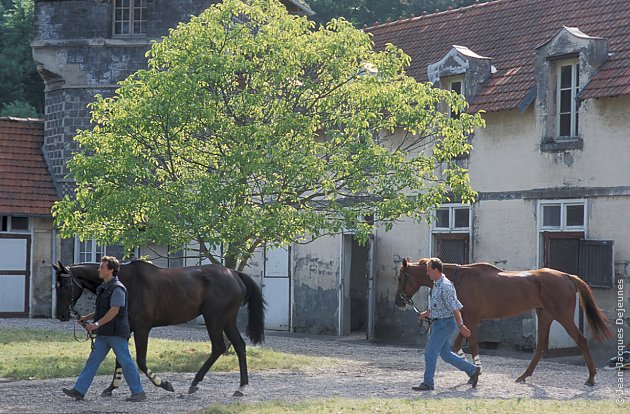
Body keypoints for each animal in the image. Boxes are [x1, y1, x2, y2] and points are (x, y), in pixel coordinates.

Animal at [51, 260, 264, 396]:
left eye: (64, 285)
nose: (61, 315)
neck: (126, 282)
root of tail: (234, 274)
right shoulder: (125, 329)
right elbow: (121, 359)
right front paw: (111, 388)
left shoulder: (143, 328)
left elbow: (140, 361)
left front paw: (164, 384)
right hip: (227, 320)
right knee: (239, 346)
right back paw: (241, 387)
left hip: (214, 319)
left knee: (219, 347)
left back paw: (195, 383)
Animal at [398, 258, 616, 386]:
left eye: (401, 277)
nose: (399, 300)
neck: (458, 279)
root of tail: (567, 276)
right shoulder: (467, 320)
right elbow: (458, 345)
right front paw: (472, 373)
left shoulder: (472, 320)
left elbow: (472, 346)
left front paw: (475, 375)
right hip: (545, 316)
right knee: (541, 347)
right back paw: (523, 376)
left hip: (562, 316)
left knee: (581, 340)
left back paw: (591, 378)